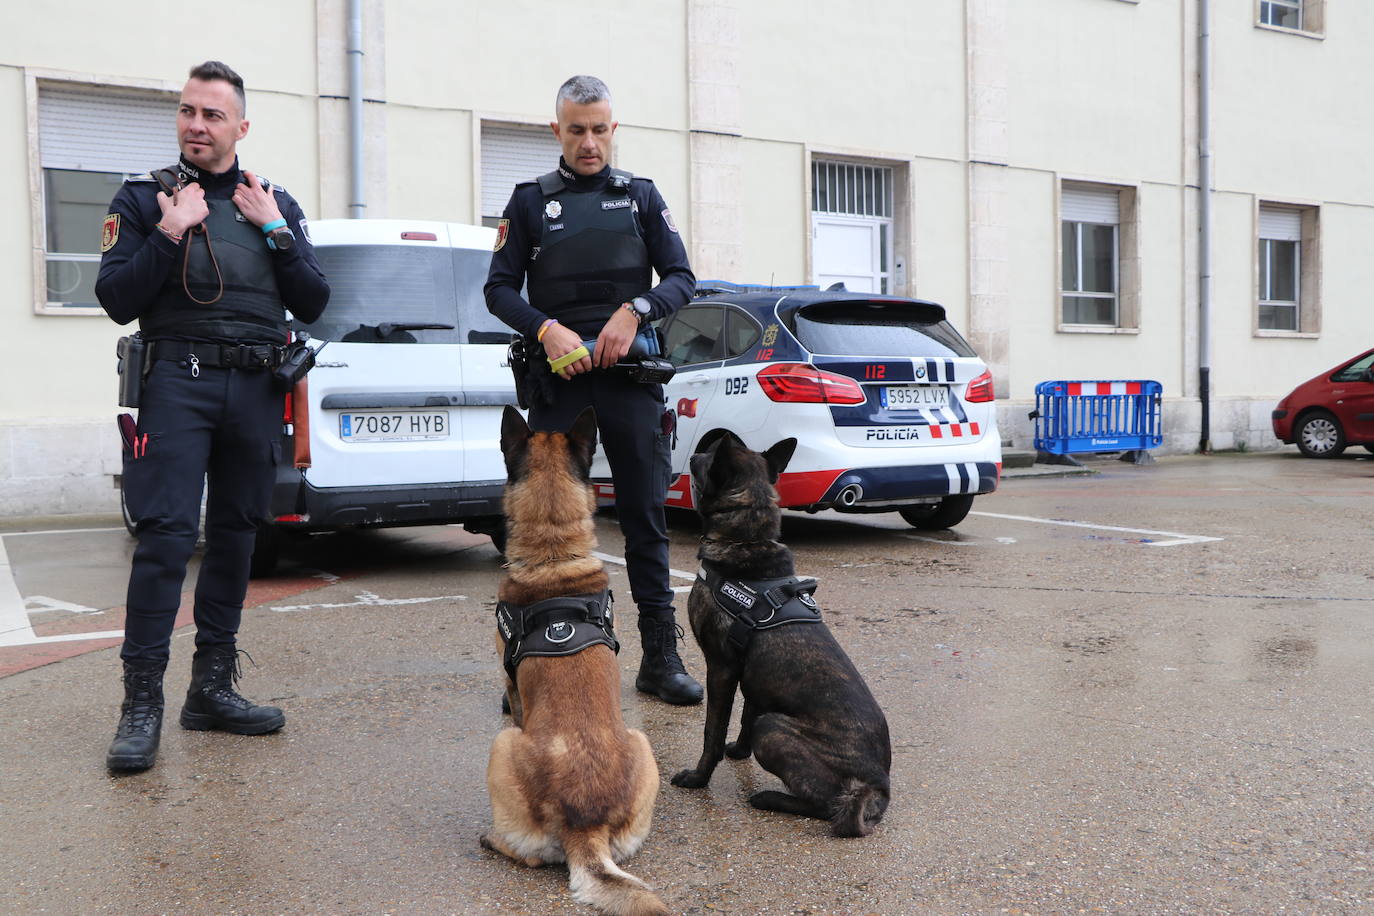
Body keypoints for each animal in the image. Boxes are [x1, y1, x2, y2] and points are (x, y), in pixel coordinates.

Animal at [483, 409, 670, 916]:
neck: (553, 554)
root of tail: (584, 825)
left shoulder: (511, 685)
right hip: (642, 741)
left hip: (501, 744)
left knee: (526, 855)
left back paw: (491, 840)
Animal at [673, 431, 890, 840]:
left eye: (706, 458)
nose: (694, 452)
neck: (746, 541)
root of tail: (878, 787)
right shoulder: (751, 677)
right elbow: (744, 717)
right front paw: (738, 753)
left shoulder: (721, 669)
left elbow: (712, 731)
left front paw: (698, 778)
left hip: (773, 728)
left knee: (825, 806)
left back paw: (769, 798)